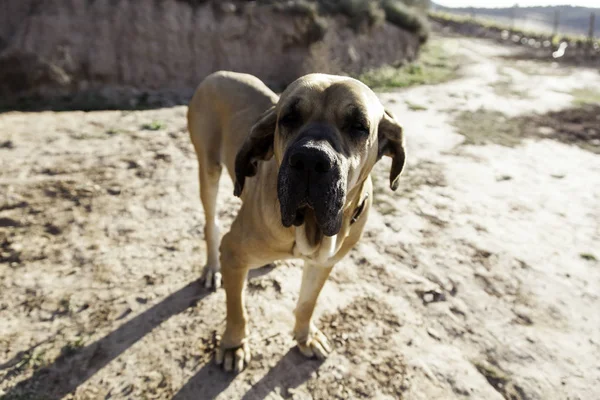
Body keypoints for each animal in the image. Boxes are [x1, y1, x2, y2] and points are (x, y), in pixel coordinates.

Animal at [186, 71, 404, 372]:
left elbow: (308, 302)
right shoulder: (232, 252)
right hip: (208, 168)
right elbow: (236, 309)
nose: (310, 159)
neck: (308, 227)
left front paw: (305, 336)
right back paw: (211, 268)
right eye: (288, 118)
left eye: (358, 126)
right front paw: (233, 345)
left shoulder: (324, 262)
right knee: (211, 223)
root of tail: (216, 75)